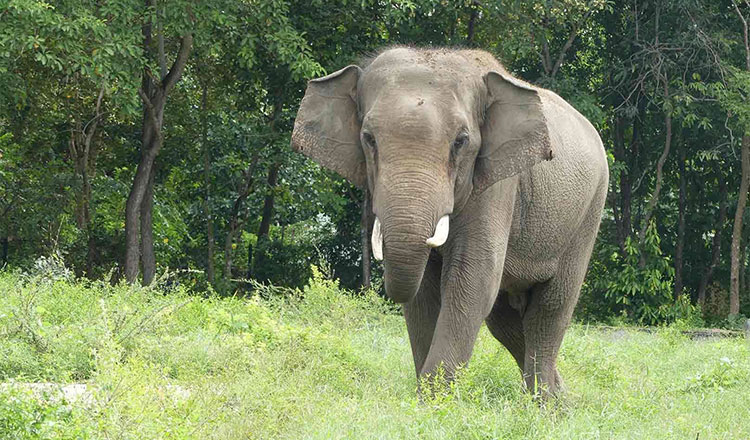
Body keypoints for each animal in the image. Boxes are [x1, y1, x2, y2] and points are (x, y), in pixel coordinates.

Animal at [291, 47, 608, 395]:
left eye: (461, 141)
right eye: (368, 138)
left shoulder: (498, 183)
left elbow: (473, 278)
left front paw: (433, 400)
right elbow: (424, 295)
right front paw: (426, 398)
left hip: (589, 211)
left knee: (550, 309)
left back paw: (545, 401)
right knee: (505, 321)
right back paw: (561, 399)